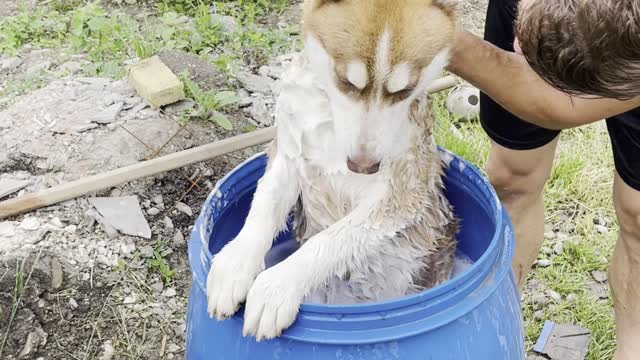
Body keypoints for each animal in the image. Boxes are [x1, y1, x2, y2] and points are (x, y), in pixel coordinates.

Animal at [206, 0, 460, 340]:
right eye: (346, 81)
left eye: (403, 91)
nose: (364, 166)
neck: (328, 116)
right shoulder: (288, 153)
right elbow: (264, 207)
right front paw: (236, 264)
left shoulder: (401, 193)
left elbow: (329, 240)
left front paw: (277, 286)